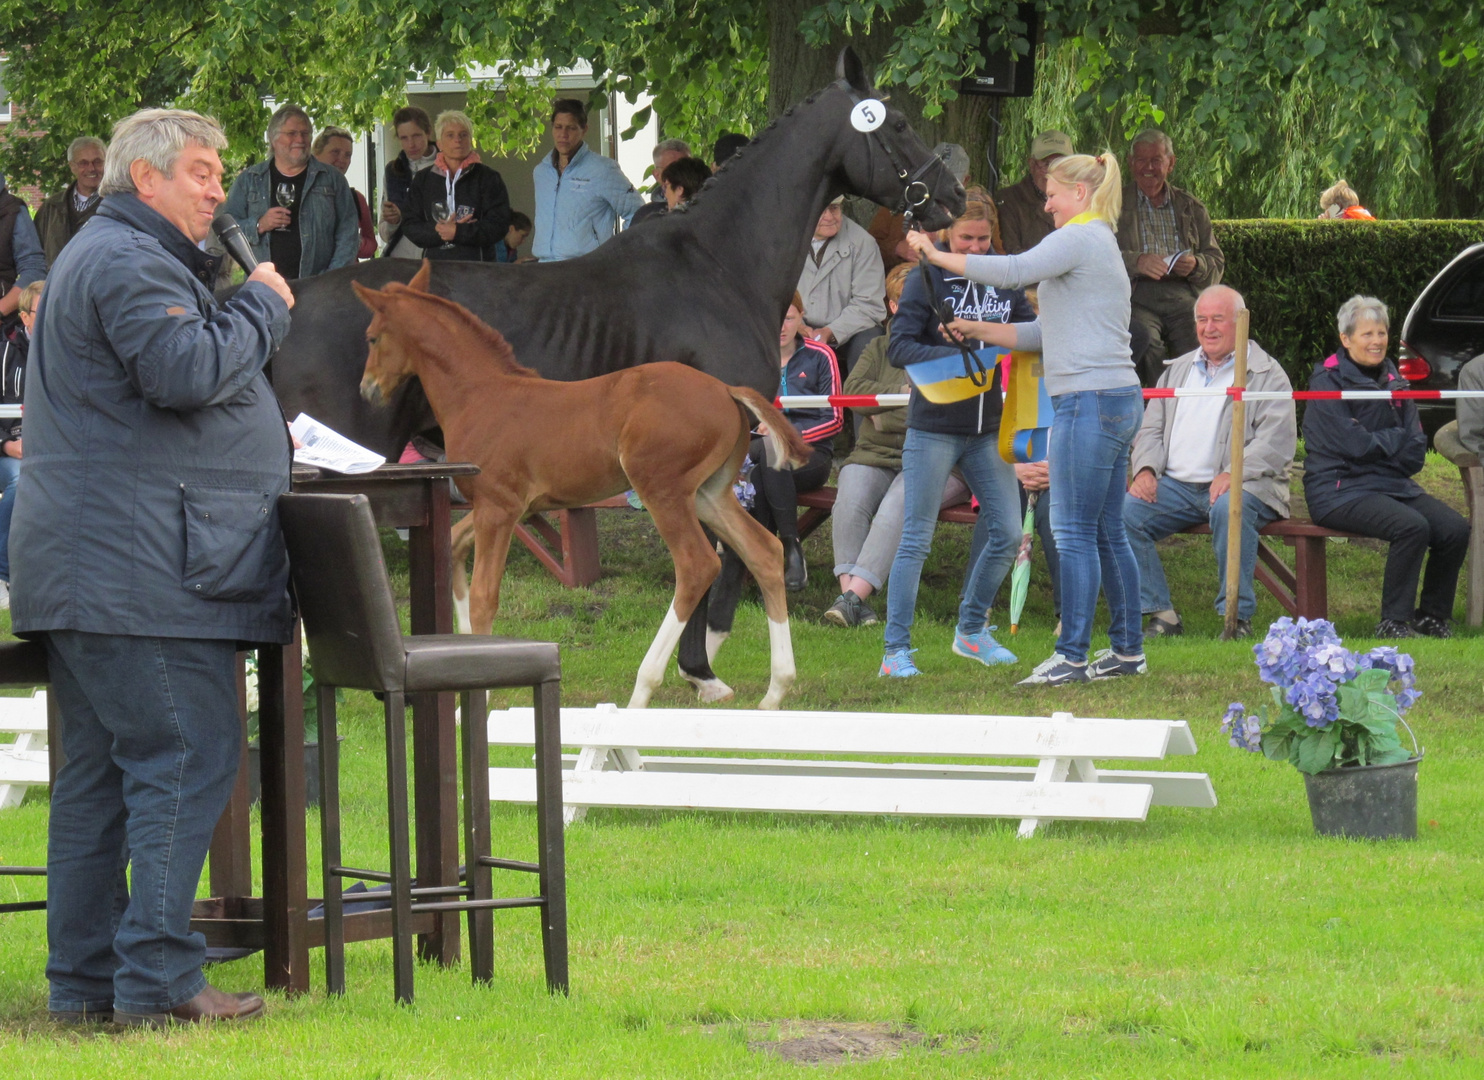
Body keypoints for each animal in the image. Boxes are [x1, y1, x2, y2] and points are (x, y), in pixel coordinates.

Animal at [353, 264, 807, 709]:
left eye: (372, 337)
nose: (367, 389)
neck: (481, 395)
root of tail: (726, 390)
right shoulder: (504, 508)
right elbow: (453, 547)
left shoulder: (499, 507)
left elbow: (484, 595)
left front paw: (480, 695)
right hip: (709, 494)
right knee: (765, 551)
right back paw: (776, 689)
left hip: (662, 491)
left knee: (697, 565)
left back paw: (642, 692)